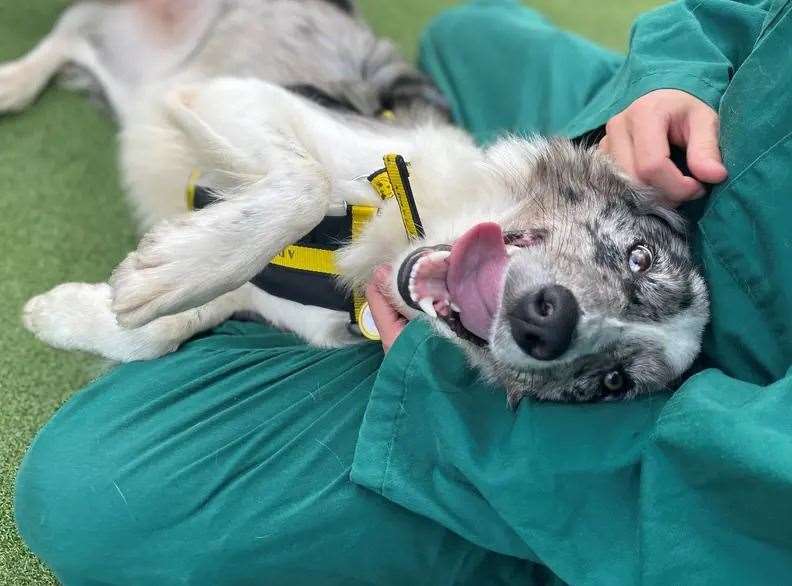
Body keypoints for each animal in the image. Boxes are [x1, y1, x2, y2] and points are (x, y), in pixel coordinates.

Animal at [4, 0, 712, 402]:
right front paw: (166, 276)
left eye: (612, 383)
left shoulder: (259, 302)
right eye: (638, 256)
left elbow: (156, 336)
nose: (550, 323)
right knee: (67, 29)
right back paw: (13, 81)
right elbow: (307, 179)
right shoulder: (236, 94)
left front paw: (65, 313)